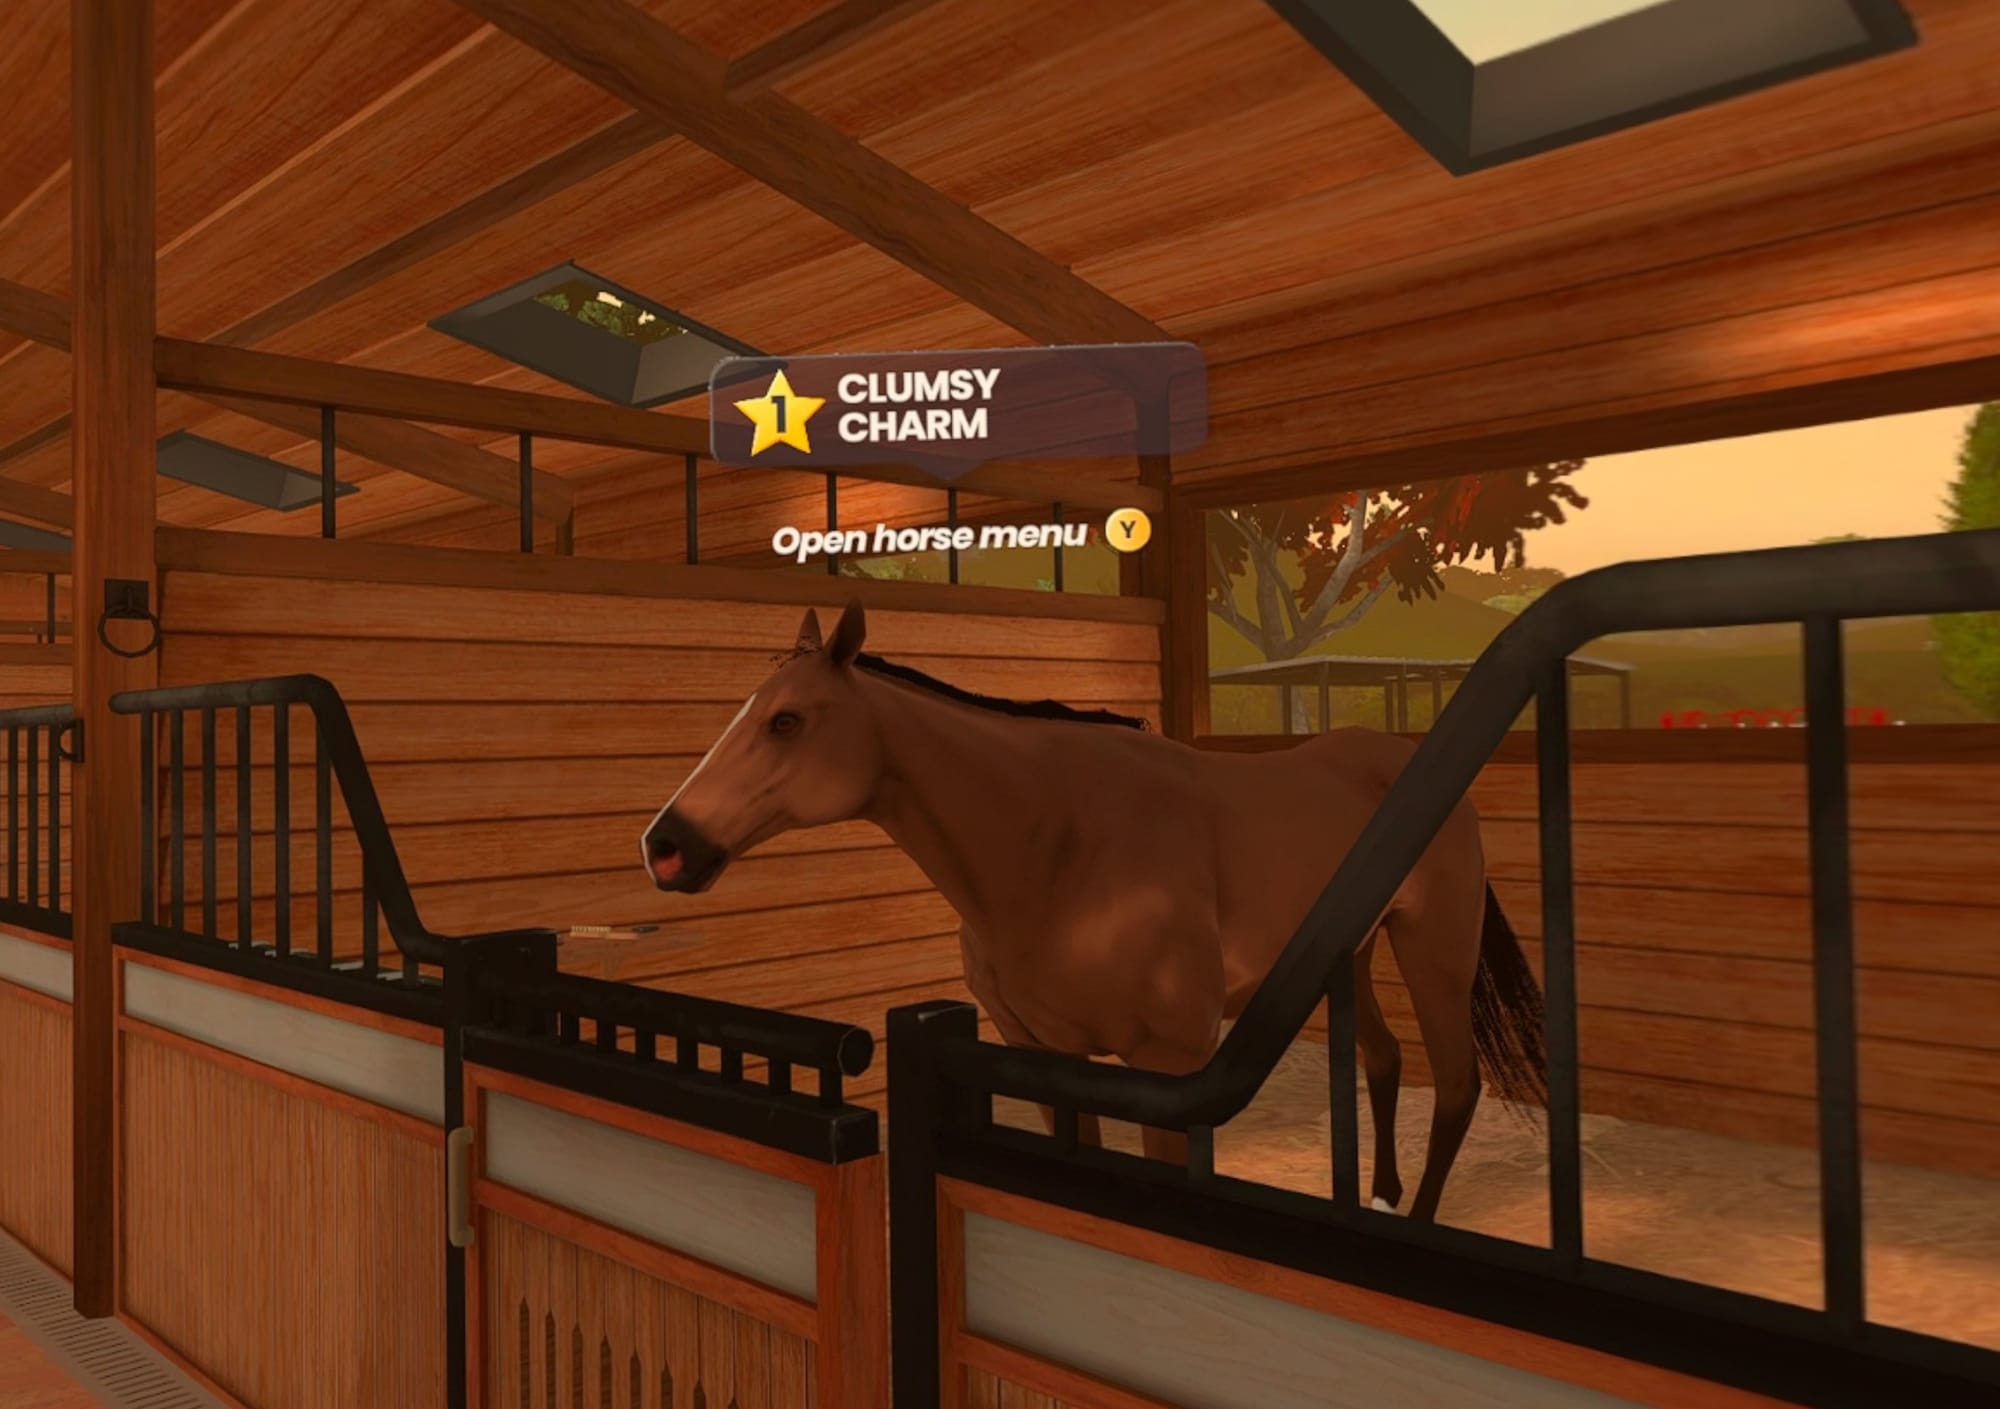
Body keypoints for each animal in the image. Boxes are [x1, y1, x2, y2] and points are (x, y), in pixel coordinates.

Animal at [641, 599, 1546, 1222]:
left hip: (1432, 951)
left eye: (787, 720)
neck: (1060, 849)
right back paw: (1380, 1197)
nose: (665, 844)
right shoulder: (1038, 1052)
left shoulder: (1171, 1065)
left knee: (1456, 1083)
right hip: (1349, 956)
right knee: (1386, 1058)